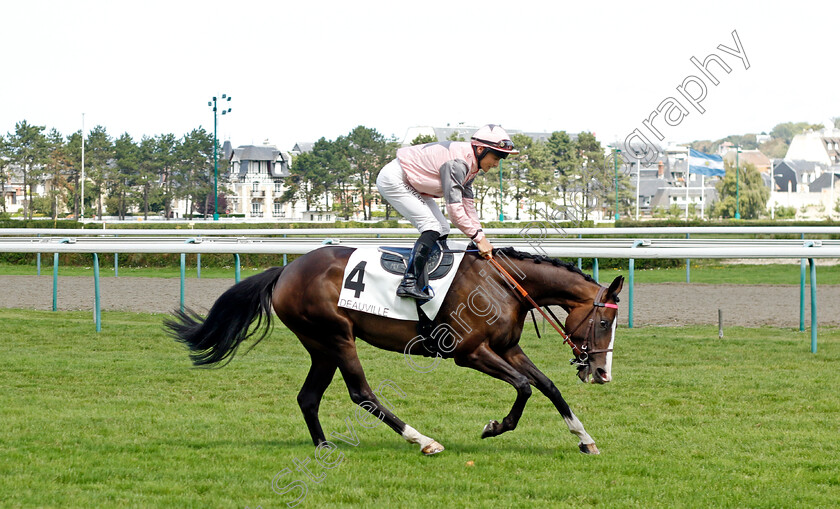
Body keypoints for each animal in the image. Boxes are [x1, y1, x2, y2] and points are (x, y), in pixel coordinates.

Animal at [166, 244, 624, 454]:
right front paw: (495, 426)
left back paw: (323, 445)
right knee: (361, 393)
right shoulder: (469, 352)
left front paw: (585, 439)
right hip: (336, 336)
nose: (602, 373)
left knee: (308, 396)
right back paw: (422, 440)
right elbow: (525, 388)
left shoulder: (507, 348)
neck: (502, 285)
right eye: (604, 322)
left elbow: (547, 386)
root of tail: (286, 270)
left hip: (320, 346)